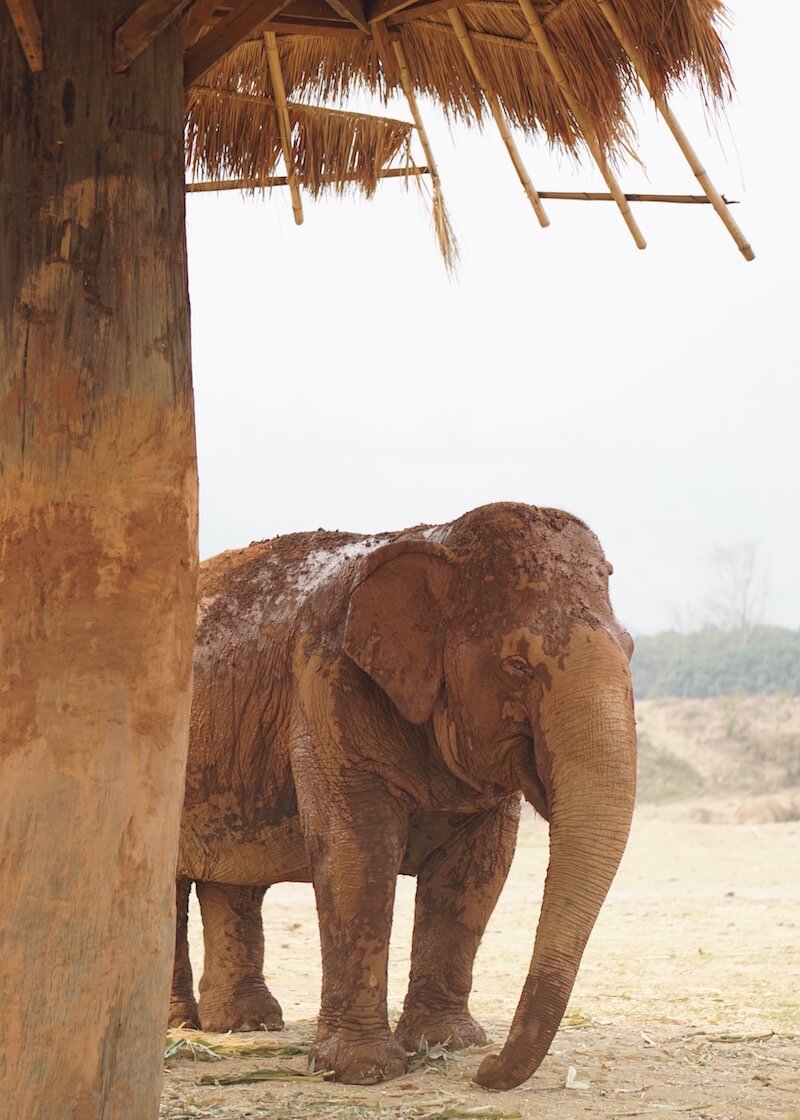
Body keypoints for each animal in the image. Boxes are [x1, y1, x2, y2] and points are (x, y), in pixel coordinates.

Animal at [170, 504, 636, 1088]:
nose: (486, 1072)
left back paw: (246, 1025)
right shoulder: (327, 686)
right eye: (517, 664)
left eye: (631, 648)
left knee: (236, 882)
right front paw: (362, 1071)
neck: (439, 538)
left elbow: (477, 872)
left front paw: (449, 1044)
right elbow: (358, 853)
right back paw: (181, 1025)